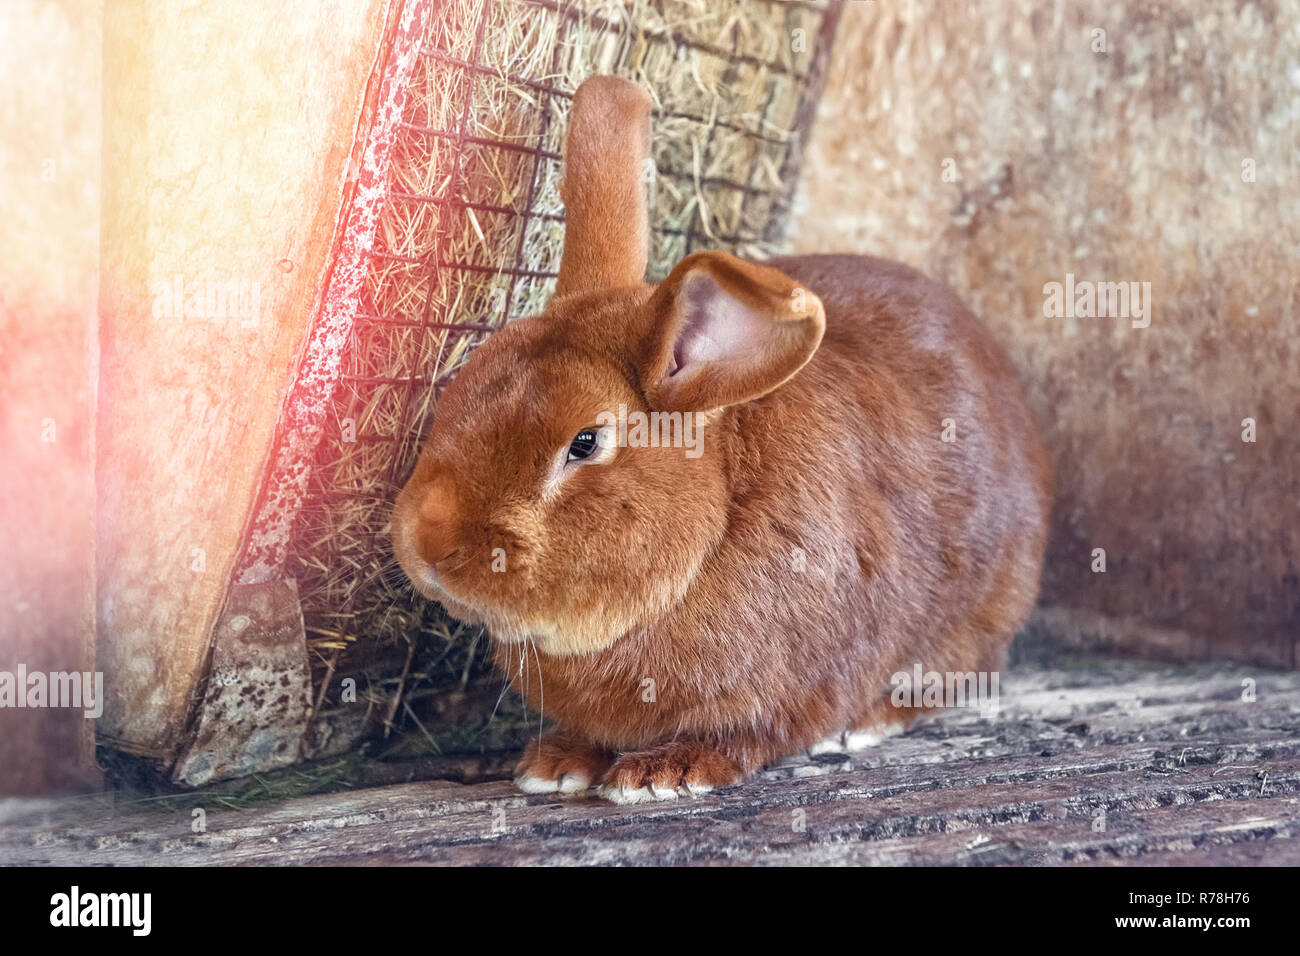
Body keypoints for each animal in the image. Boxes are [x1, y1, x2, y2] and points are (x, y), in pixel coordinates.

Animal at [390, 78, 1050, 806]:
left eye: (584, 443)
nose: (425, 544)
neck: (711, 531)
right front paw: (556, 765)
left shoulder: (786, 686)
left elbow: (745, 736)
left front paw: (661, 775)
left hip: (977, 614)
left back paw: (867, 725)